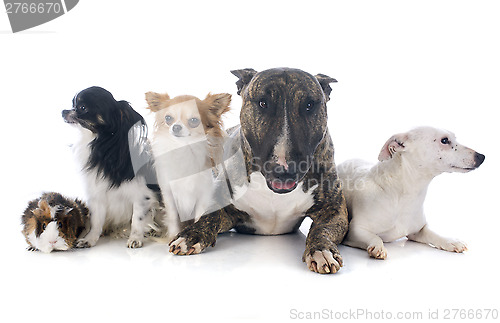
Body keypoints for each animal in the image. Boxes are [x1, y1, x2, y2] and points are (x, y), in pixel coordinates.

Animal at [62, 86, 159, 248]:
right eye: (73, 104)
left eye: (82, 108)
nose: (63, 111)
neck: (102, 147)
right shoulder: (97, 196)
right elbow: (96, 221)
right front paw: (89, 239)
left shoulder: (141, 196)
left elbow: (137, 219)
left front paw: (135, 239)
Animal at [145, 91, 230, 238]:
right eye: (168, 118)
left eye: (194, 121)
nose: (176, 127)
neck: (183, 149)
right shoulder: (169, 194)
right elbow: (173, 218)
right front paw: (173, 236)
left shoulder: (203, 196)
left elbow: (199, 217)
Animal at [170, 69, 350, 276]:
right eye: (263, 103)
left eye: (309, 105)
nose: (284, 168)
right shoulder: (226, 209)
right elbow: (210, 216)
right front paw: (191, 235)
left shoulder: (334, 209)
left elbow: (322, 230)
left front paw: (321, 250)